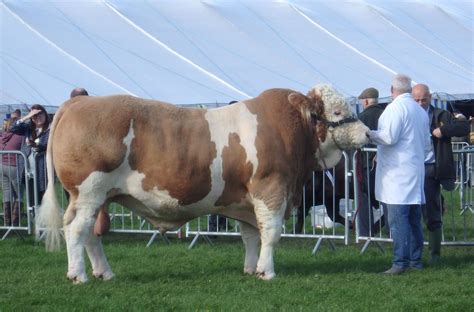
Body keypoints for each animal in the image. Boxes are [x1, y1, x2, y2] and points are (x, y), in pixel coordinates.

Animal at [38, 84, 370, 282]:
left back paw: (103, 272)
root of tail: (79, 103)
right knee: (77, 230)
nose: (368, 133)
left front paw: (251, 268)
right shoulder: (272, 190)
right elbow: (271, 233)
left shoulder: (245, 201)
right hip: (89, 193)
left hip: (97, 197)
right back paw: (78, 275)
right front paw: (267, 271)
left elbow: (251, 236)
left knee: (91, 235)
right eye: (337, 111)